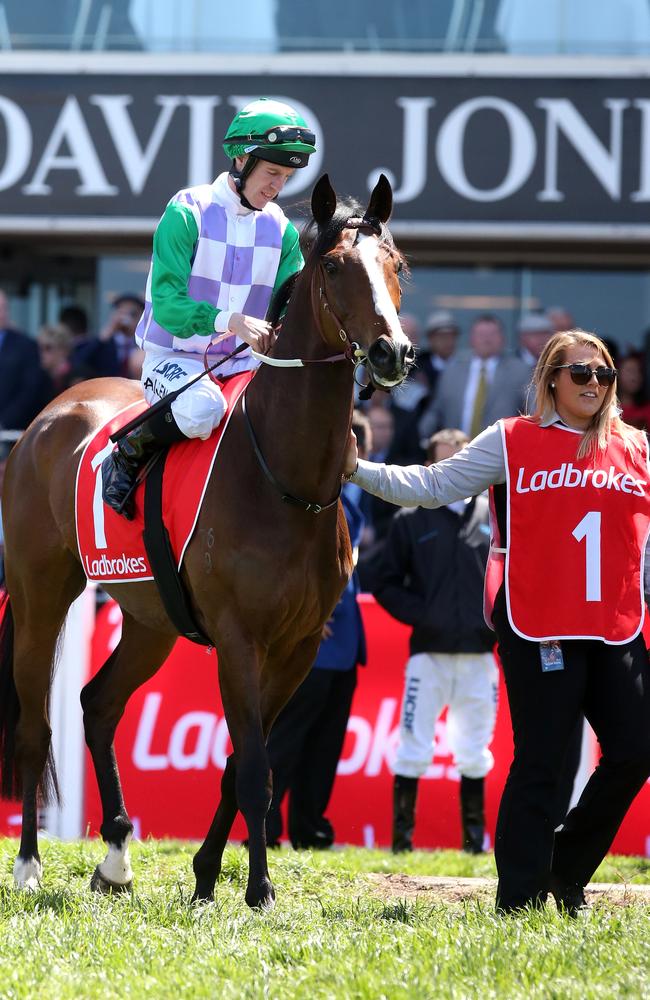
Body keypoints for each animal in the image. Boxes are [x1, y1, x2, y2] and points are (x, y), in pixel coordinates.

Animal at [0, 172, 412, 908]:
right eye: (337, 267)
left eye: (397, 266)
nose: (395, 353)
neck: (283, 475)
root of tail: (50, 416)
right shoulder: (240, 638)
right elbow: (253, 766)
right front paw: (258, 889)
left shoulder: (300, 646)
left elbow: (242, 762)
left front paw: (206, 876)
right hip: (40, 594)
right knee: (33, 725)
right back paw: (27, 866)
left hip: (149, 618)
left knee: (98, 703)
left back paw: (115, 857)